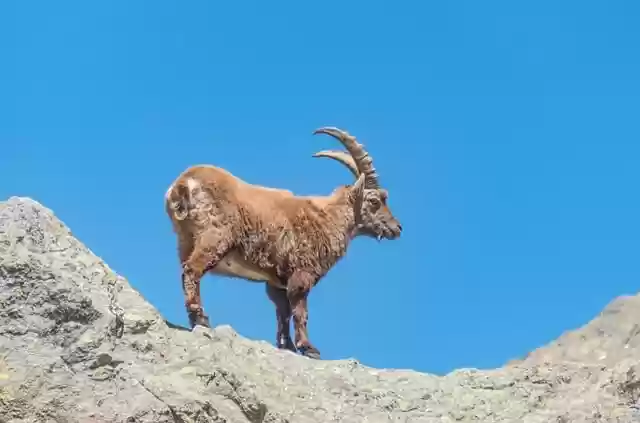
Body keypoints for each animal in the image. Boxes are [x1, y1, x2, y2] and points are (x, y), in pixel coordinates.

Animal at [164, 127, 402, 359]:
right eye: (374, 201)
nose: (397, 228)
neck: (328, 218)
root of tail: (182, 184)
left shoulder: (276, 281)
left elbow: (283, 312)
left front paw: (286, 345)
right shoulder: (302, 272)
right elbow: (300, 311)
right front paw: (308, 348)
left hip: (185, 239)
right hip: (215, 236)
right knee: (192, 270)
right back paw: (200, 317)